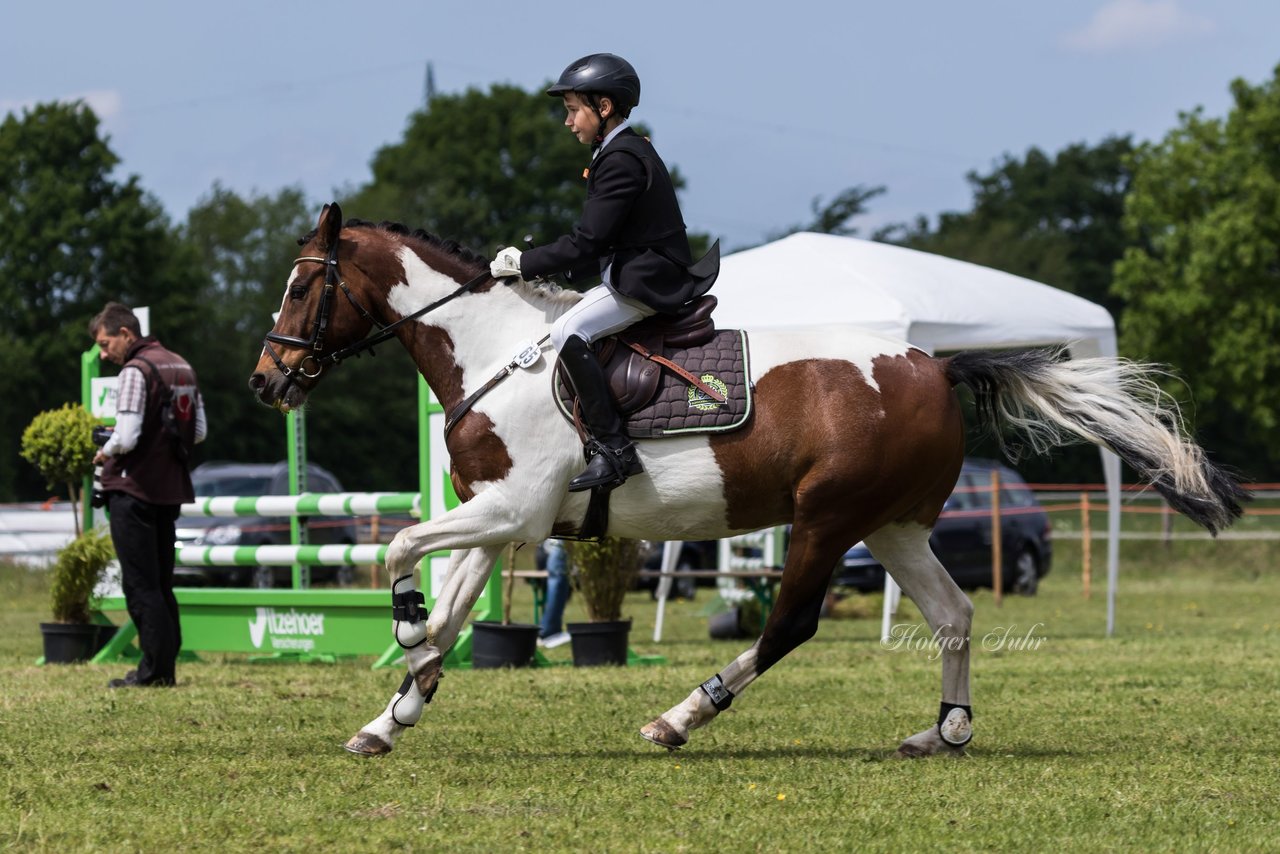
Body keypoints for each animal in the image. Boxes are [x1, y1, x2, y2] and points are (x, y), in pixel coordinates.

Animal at [249, 203, 1249, 757]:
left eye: (302, 286)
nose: (267, 381)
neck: (496, 350)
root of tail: (932, 365)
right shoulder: (504, 519)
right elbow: (456, 609)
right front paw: (397, 709)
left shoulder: (514, 509)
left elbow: (402, 552)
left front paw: (405, 637)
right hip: (893, 527)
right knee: (955, 615)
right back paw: (945, 729)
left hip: (827, 521)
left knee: (789, 624)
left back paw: (682, 716)